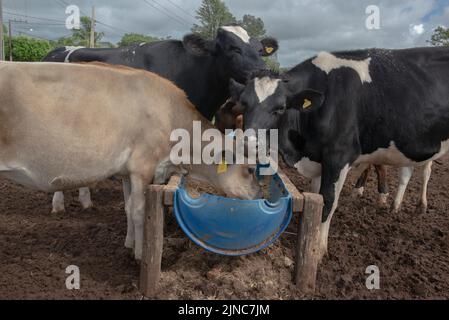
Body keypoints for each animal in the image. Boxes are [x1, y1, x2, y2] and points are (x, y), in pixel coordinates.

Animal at [0, 61, 260, 258]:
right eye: (250, 169)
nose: (258, 194)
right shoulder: (142, 167)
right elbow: (138, 210)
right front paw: (140, 254)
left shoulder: (127, 172)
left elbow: (126, 208)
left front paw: (129, 244)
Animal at [43, 25, 278, 215]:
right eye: (232, 48)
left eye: (260, 49)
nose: (264, 71)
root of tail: (57, 50)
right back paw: (58, 204)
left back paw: (85, 201)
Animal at [231, 47, 448, 258]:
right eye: (243, 102)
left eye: (281, 107)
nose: (247, 144)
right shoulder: (318, 160)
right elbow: (317, 196)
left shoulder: (339, 157)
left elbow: (328, 201)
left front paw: (318, 249)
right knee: (408, 172)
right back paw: (396, 206)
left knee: (424, 171)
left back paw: (420, 205)